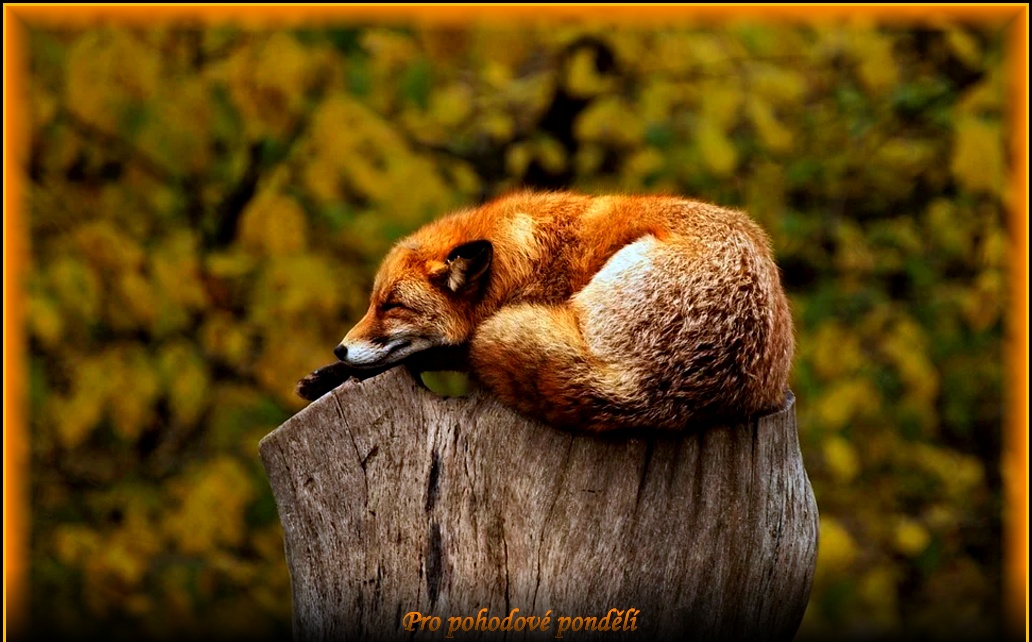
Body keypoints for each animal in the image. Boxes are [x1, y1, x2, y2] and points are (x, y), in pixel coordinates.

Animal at [297, 191, 794, 432]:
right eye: (372, 303)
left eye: (392, 306)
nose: (340, 349)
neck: (522, 261)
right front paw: (326, 375)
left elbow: (434, 354)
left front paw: (334, 374)